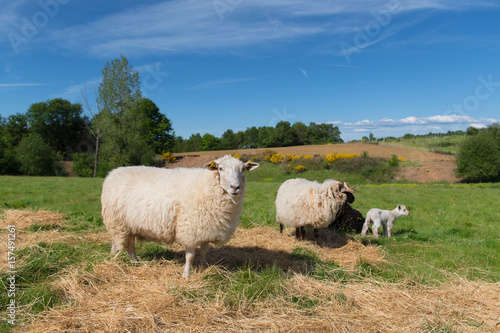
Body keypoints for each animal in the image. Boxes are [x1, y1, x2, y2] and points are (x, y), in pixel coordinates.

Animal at [100, 155, 260, 278]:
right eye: (221, 169)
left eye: (243, 169)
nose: (235, 187)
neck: (206, 187)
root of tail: (112, 173)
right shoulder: (190, 229)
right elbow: (190, 256)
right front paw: (186, 275)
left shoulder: (206, 229)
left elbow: (204, 252)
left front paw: (204, 269)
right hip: (117, 222)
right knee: (117, 244)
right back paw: (113, 261)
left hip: (129, 224)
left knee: (130, 244)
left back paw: (134, 262)